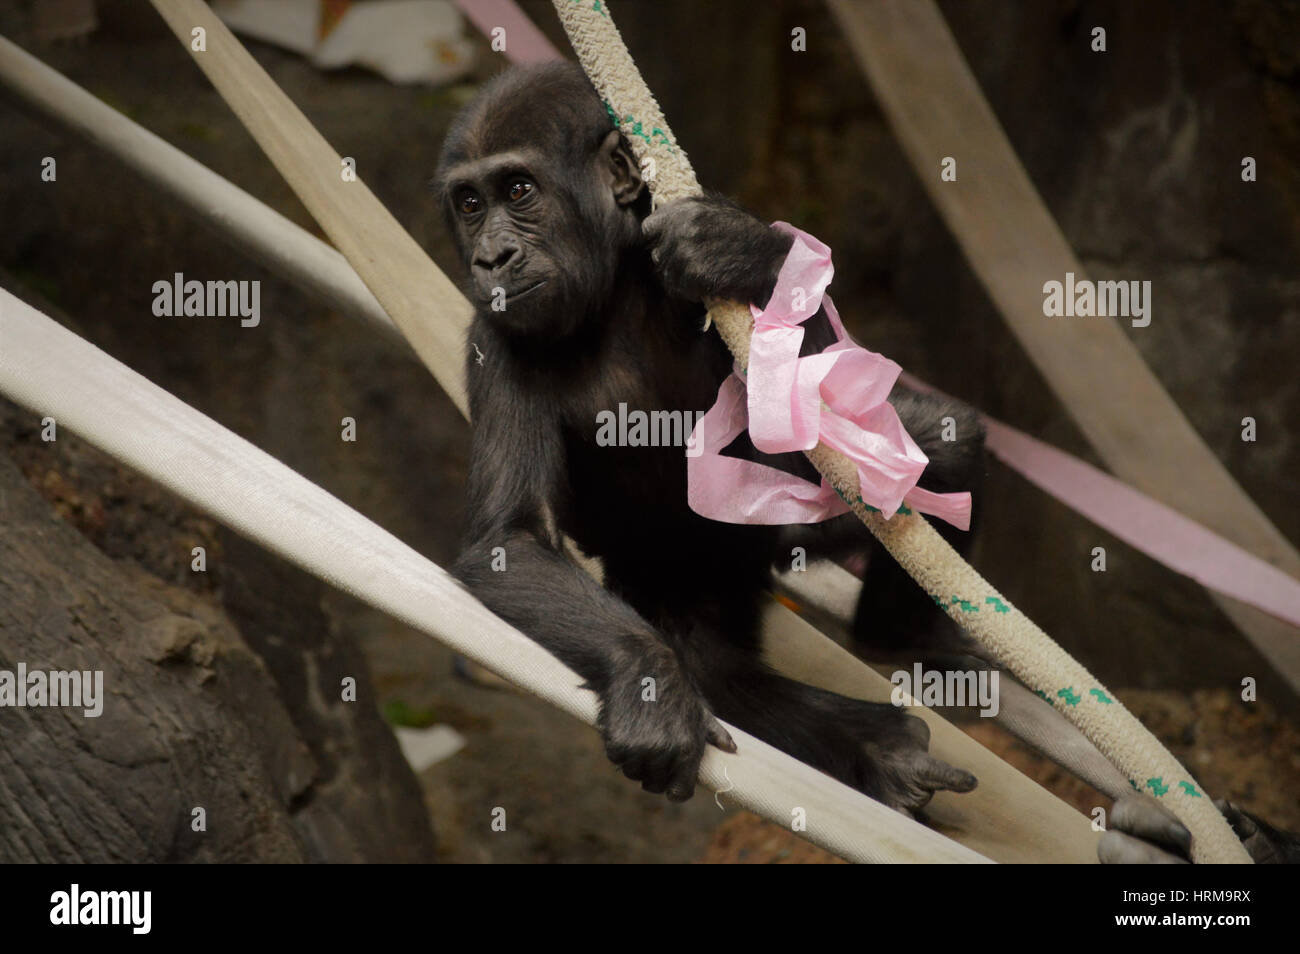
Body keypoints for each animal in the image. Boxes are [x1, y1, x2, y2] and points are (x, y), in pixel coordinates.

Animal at [435, 62, 984, 811]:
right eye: (468, 203)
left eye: (518, 190)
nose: (492, 255)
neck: (614, 293)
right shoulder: (495, 342)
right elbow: (510, 540)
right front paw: (653, 688)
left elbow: (820, 413)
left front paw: (744, 251)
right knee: (719, 669)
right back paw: (884, 743)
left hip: (785, 531)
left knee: (938, 445)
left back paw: (899, 648)